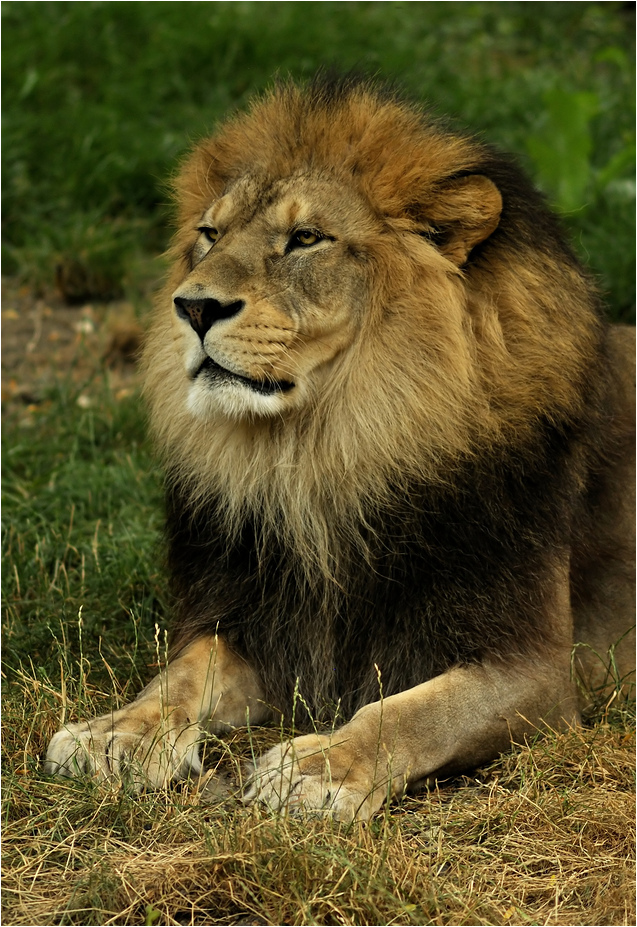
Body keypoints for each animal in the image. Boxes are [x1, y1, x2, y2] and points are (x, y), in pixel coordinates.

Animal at [45, 76, 635, 821]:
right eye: (210, 235)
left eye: (305, 239)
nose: (193, 306)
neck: (326, 449)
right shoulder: (259, 627)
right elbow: (182, 674)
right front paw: (116, 733)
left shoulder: (537, 669)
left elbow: (413, 710)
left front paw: (320, 765)